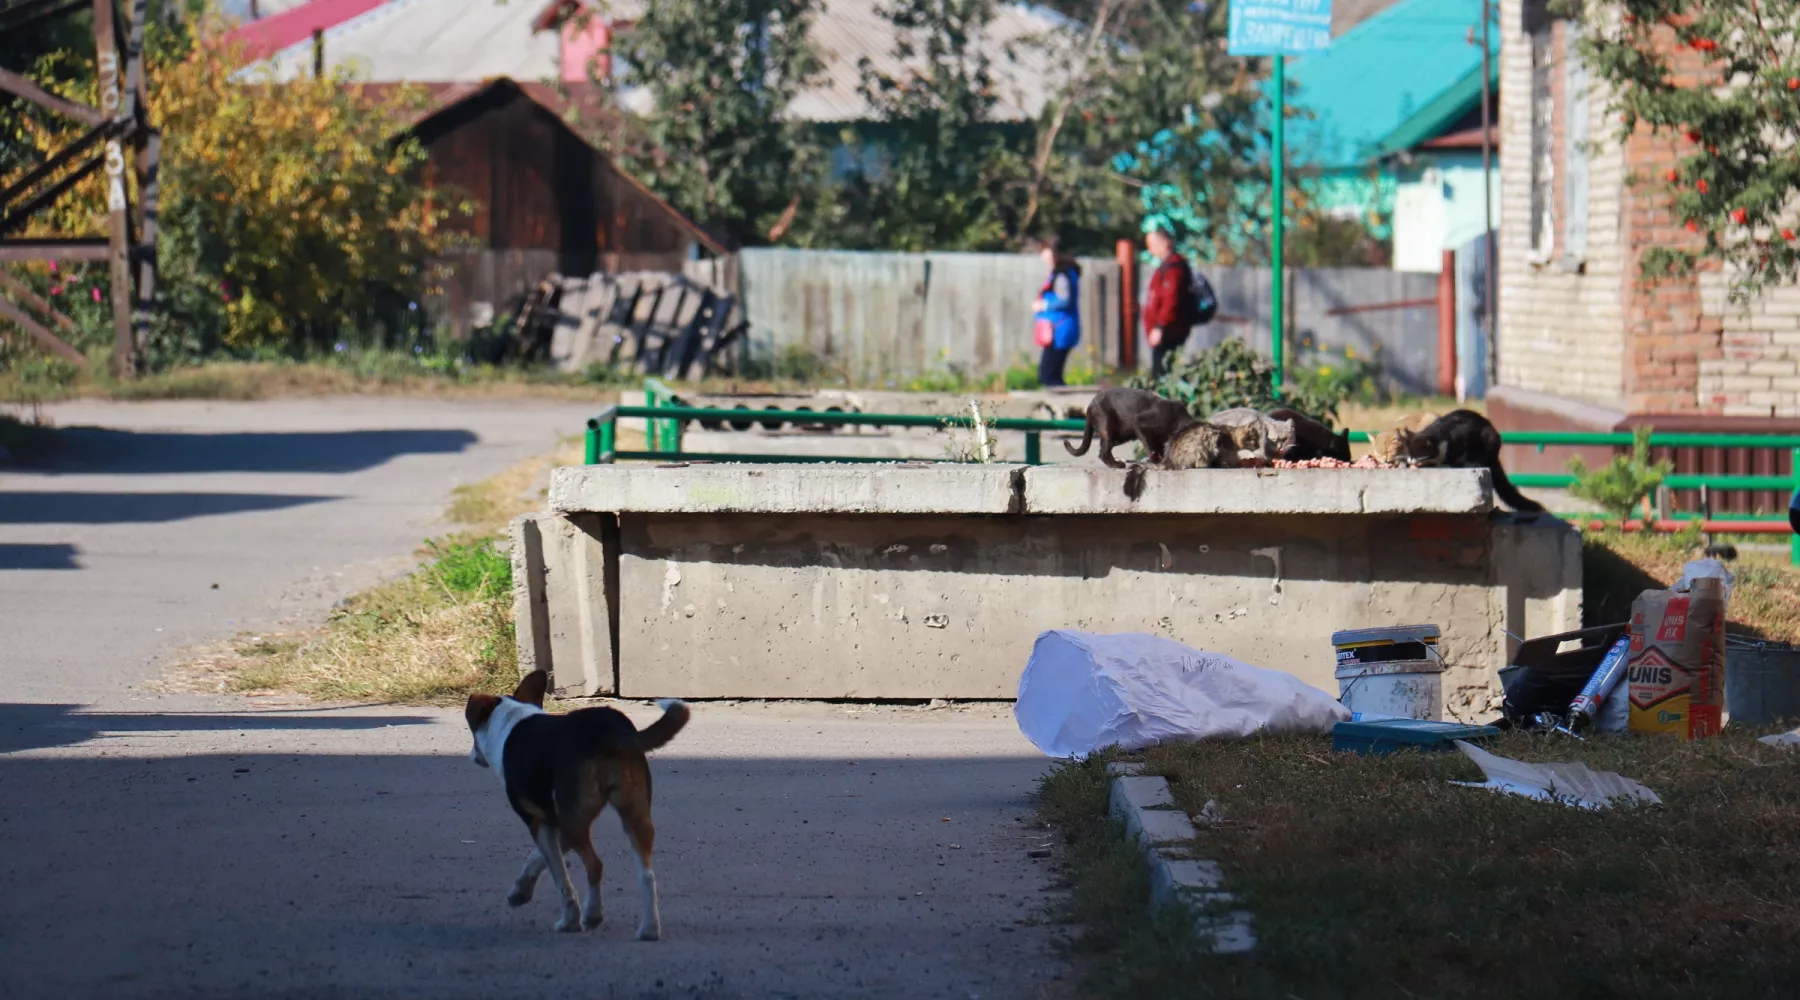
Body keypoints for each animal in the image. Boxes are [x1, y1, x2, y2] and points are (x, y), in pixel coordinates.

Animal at [464, 672, 687, 935]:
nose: (472, 756)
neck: (510, 720)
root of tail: (611, 731)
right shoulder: (556, 823)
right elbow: (537, 858)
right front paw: (520, 891)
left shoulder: (541, 823)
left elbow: (559, 876)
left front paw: (570, 919)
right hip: (632, 815)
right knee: (646, 874)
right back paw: (649, 929)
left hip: (575, 823)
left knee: (595, 865)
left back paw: (593, 915)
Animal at [1058, 388, 1202, 471]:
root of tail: (1089, 406)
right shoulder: (1139, 423)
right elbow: (1151, 446)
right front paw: (1156, 460)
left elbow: (1159, 448)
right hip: (1108, 426)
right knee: (1103, 452)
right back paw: (1117, 465)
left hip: (1120, 435)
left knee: (1102, 449)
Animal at [1389, 408, 1548, 510]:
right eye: (1409, 453)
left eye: (1417, 454)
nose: (1410, 461)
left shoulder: (1462, 437)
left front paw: (1447, 464)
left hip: (1489, 439)